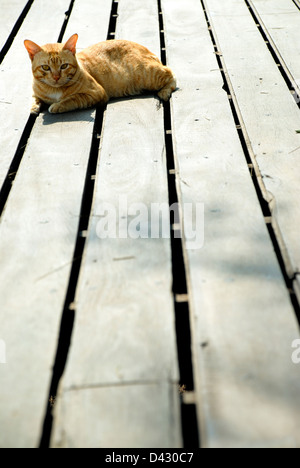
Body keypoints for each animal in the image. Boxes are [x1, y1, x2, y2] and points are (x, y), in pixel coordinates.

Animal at [25, 33, 178, 113]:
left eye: (64, 66)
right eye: (46, 67)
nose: (56, 77)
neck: (54, 90)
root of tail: (148, 50)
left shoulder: (96, 93)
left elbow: (71, 100)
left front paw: (56, 106)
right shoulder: (35, 92)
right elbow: (34, 98)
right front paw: (34, 107)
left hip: (149, 75)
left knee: (171, 74)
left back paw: (164, 92)